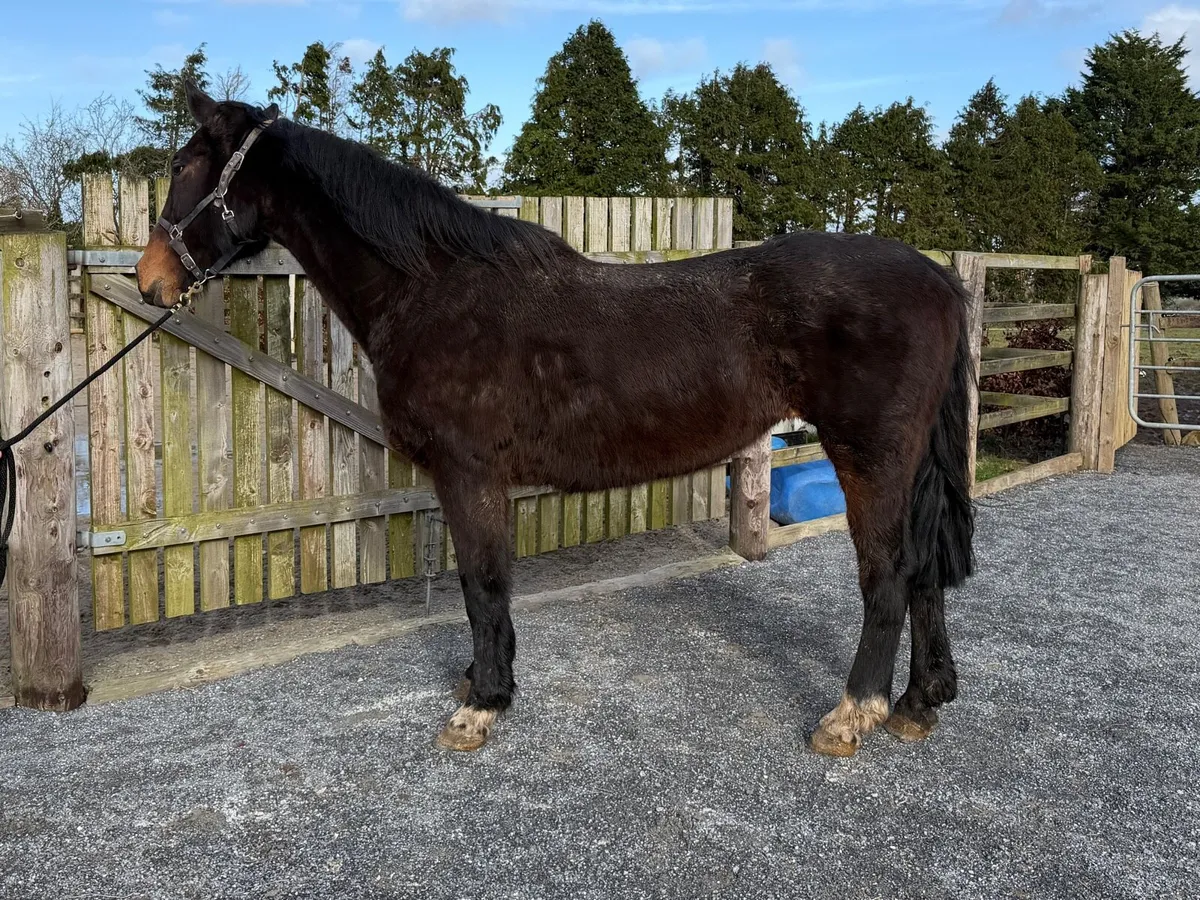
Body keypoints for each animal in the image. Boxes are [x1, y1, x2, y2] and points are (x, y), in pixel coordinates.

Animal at [136, 83, 975, 758]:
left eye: (183, 166)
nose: (150, 280)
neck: (432, 289)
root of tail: (939, 277)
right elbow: (483, 584)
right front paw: (480, 681)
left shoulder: (469, 473)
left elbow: (482, 582)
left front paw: (482, 704)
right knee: (924, 569)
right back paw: (918, 703)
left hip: (870, 453)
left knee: (888, 573)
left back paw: (852, 715)